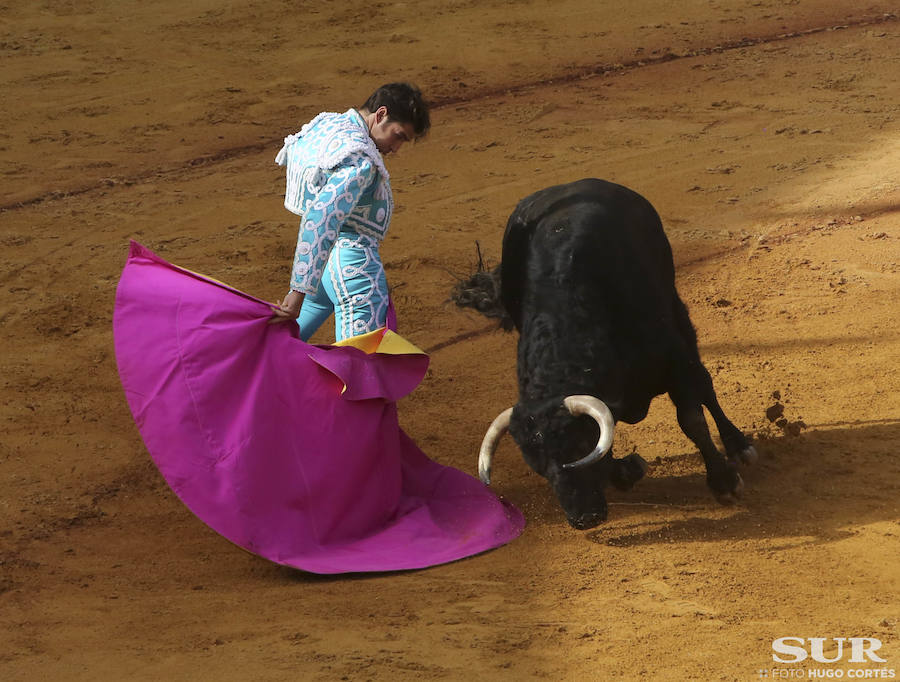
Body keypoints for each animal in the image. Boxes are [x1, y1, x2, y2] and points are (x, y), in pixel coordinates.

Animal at [468, 178, 756, 528]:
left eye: (579, 444)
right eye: (536, 464)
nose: (583, 518)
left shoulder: (674, 359)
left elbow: (691, 418)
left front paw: (724, 482)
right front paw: (629, 468)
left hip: (677, 310)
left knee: (704, 383)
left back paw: (738, 445)